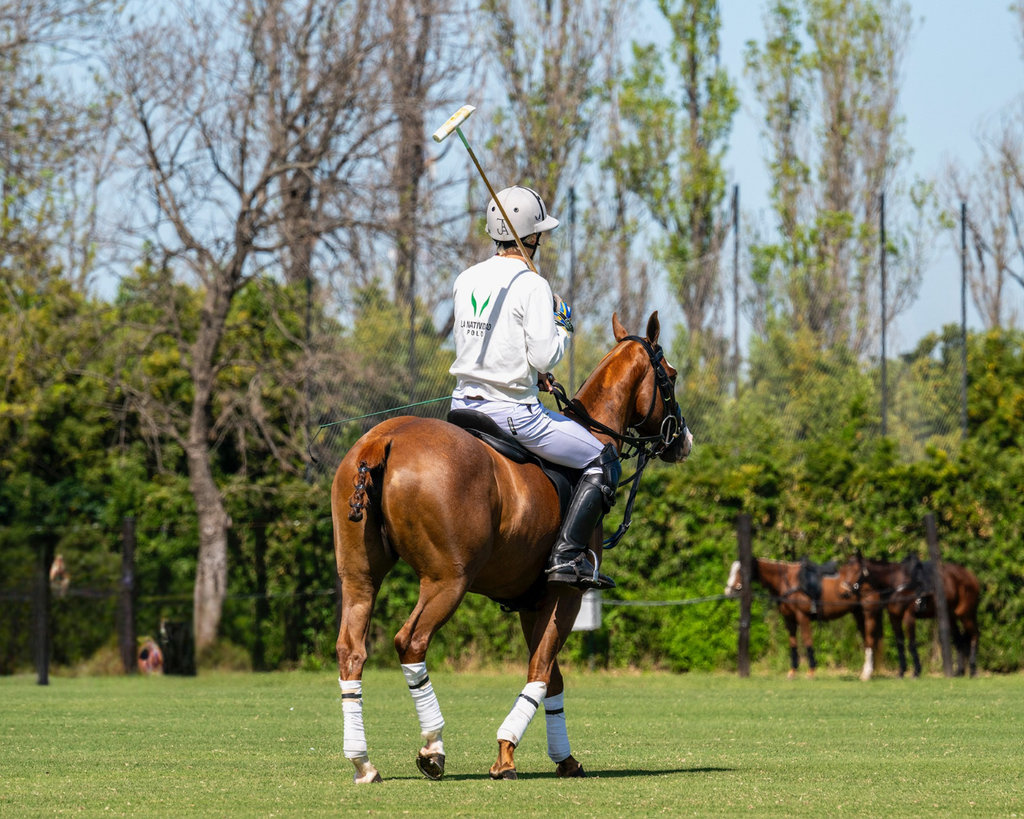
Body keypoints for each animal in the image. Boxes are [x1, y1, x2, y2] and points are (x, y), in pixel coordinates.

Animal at [331, 312, 689, 783]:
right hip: (448, 579)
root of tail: (382, 440)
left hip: (359, 575)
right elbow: (540, 670)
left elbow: (552, 677)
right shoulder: (565, 592)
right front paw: (506, 753)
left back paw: (363, 762)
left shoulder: (529, 601)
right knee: (411, 641)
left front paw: (563, 758)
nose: (683, 441)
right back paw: (432, 749)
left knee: (351, 650)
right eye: (671, 375)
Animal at [724, 557, 884, 680]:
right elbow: (793, 643)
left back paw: (866, 674)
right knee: (867, 640)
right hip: (858, 614)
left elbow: (807, 640)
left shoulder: (803, 617)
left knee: (870, 640)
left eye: (741, 570)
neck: (787, 580)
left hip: (869, 613)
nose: (728, 590)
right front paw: (792, 672)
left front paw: (811, 671)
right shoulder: (789, 620)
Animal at [837, 553, 981, 677]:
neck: (897, 582)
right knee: (959, 641)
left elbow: (911, 643)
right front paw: (901, 671)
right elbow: (900, 643)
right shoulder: (894, 617)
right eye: (845, 569)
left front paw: (916, 671)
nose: (844, 592)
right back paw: (960, 671)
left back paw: (973, 670)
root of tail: (971, 577)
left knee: (974, 636)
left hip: (966, 615)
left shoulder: (909, 616)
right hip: (952, 617)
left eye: (856, 570)